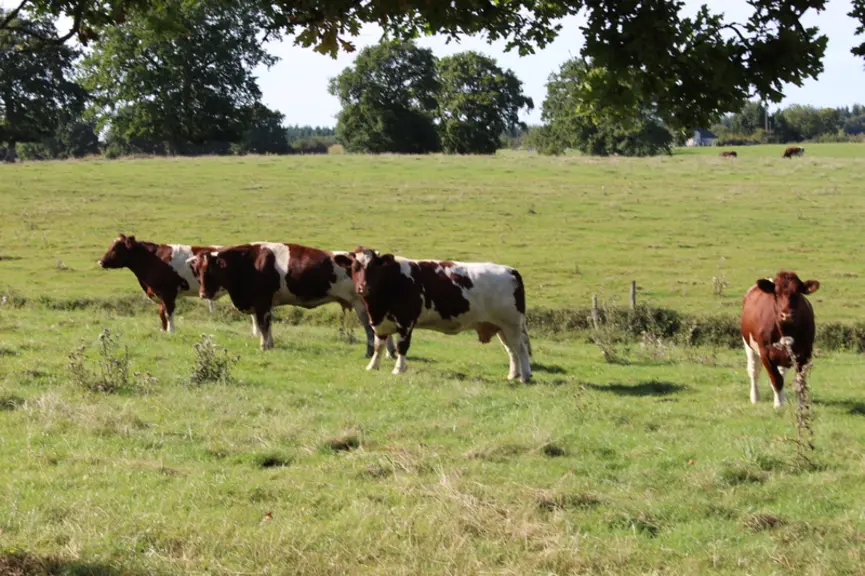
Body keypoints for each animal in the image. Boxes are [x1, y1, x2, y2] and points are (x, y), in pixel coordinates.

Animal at [98, 234, 235, 333]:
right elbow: (162, 314)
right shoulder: (160, 294)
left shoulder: (168, 293)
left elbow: (169, 313)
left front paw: (171, 331)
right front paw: (163, 331)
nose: (101, 262)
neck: (153, 260)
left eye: (116, 248)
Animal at [188, 242, 396, 357]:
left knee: (370, 328)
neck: (250, 262)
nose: (203, 294)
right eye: (198, 270)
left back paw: (371, 352)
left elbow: (263, 325)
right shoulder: (266, 304)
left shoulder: (262, 302)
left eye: (211, 270)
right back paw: (389, 353)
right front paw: (270, 344)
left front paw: (264, 346)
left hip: (362, 304)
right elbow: (268, 325)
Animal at [334, 247, 532, 383]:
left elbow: (402, 347)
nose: (363, 287)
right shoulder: (380, 322)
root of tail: (510, 270)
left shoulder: (406, 321)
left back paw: (525, 376)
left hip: (512, 324)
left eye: (374, 267)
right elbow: (378, 346)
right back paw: (513, 375)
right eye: (355, 267)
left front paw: (399, 369)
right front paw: (373, 366)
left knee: (520, 349)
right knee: (511, 351)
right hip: (501, 327)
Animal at [740, 270, 820, 408]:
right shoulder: (765, 353)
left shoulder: (805, 353)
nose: (786, 314)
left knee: (782, 372)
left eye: (798, 292)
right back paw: (755, 398)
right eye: (776, 293)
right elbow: (776, 380)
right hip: (748, 345)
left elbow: (799, 381)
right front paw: (778, 405)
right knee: (754, 371)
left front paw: (801, 406)